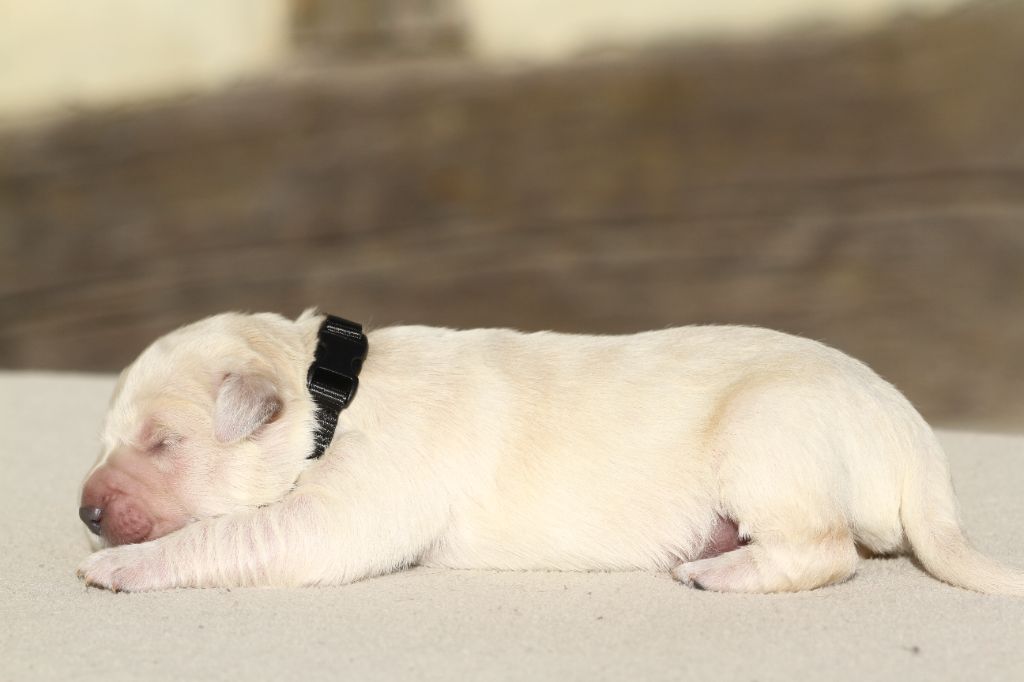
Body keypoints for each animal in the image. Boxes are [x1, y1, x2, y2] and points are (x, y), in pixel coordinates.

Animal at [77, 307, 1024, 589]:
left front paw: (117, 567)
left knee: (825, 552)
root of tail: (916, 442)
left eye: (163, 443)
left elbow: (234, 532)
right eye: (112, 437)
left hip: (771, 437)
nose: (85, 511)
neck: (328, 398)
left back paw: (721, 571)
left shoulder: (348, 510)